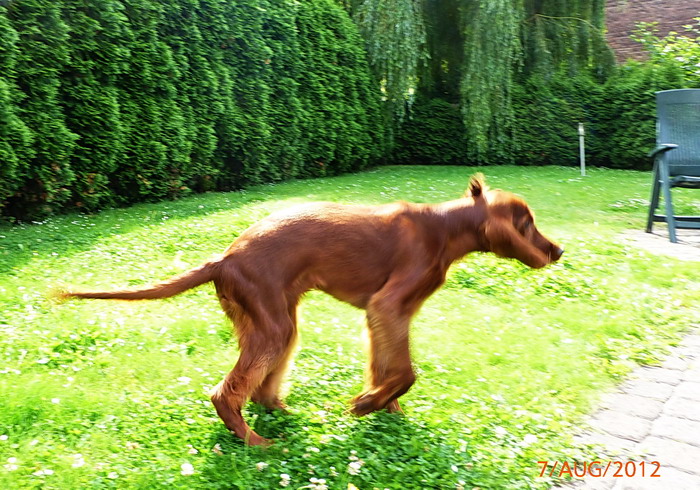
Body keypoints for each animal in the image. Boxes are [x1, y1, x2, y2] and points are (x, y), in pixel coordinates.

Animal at [60, 174, 563, 446]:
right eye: (527, 223)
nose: (557, 251)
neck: (442, 229)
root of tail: (225, 257)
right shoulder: (387, 306)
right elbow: (405, 371)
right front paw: (368, 405)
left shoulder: (387, 315)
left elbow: (388, 369)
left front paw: (387, 410)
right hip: (273, 326)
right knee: (227, 394)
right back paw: (259, 444)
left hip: (277, 322)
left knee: (260, 392)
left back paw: (287, 416)